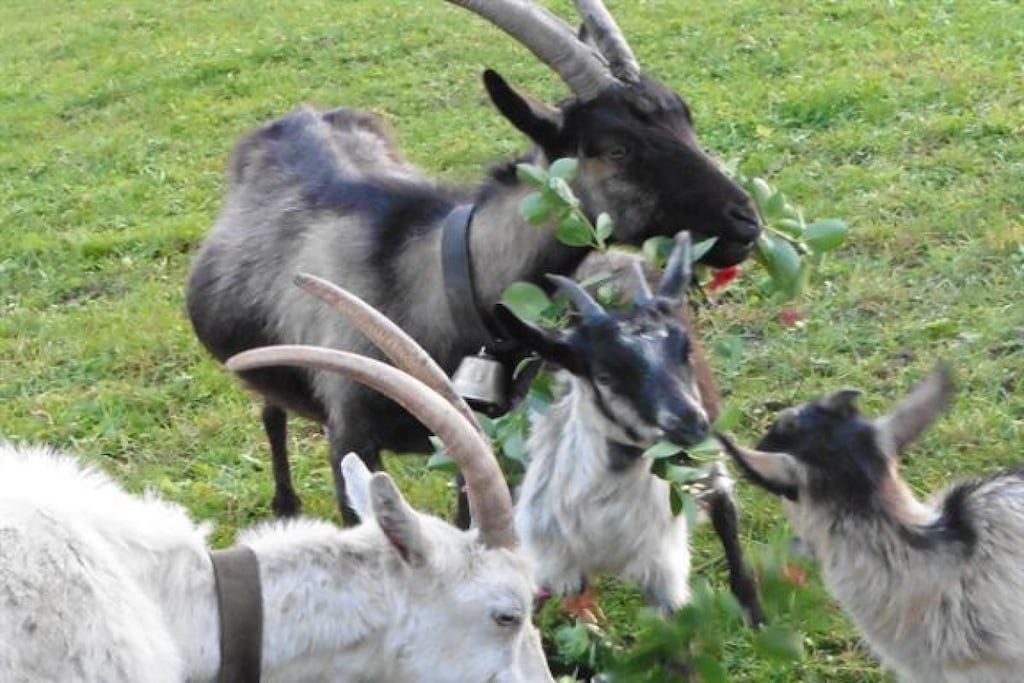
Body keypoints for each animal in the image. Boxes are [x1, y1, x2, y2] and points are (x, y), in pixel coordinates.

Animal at [186, 0, 762, 523]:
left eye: (683, 114)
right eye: (617, 149)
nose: (746, 221)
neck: (438, 280)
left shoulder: (476, 435)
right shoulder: (349, 438)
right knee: (270, 408)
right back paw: (284, 504)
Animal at [496, 234, 764, 623]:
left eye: (684, 351)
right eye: (605, 375)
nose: (689, 423)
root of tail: (608, 255)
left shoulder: (663, 570)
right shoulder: (550, 561)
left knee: (723, 504)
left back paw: (751, 607)